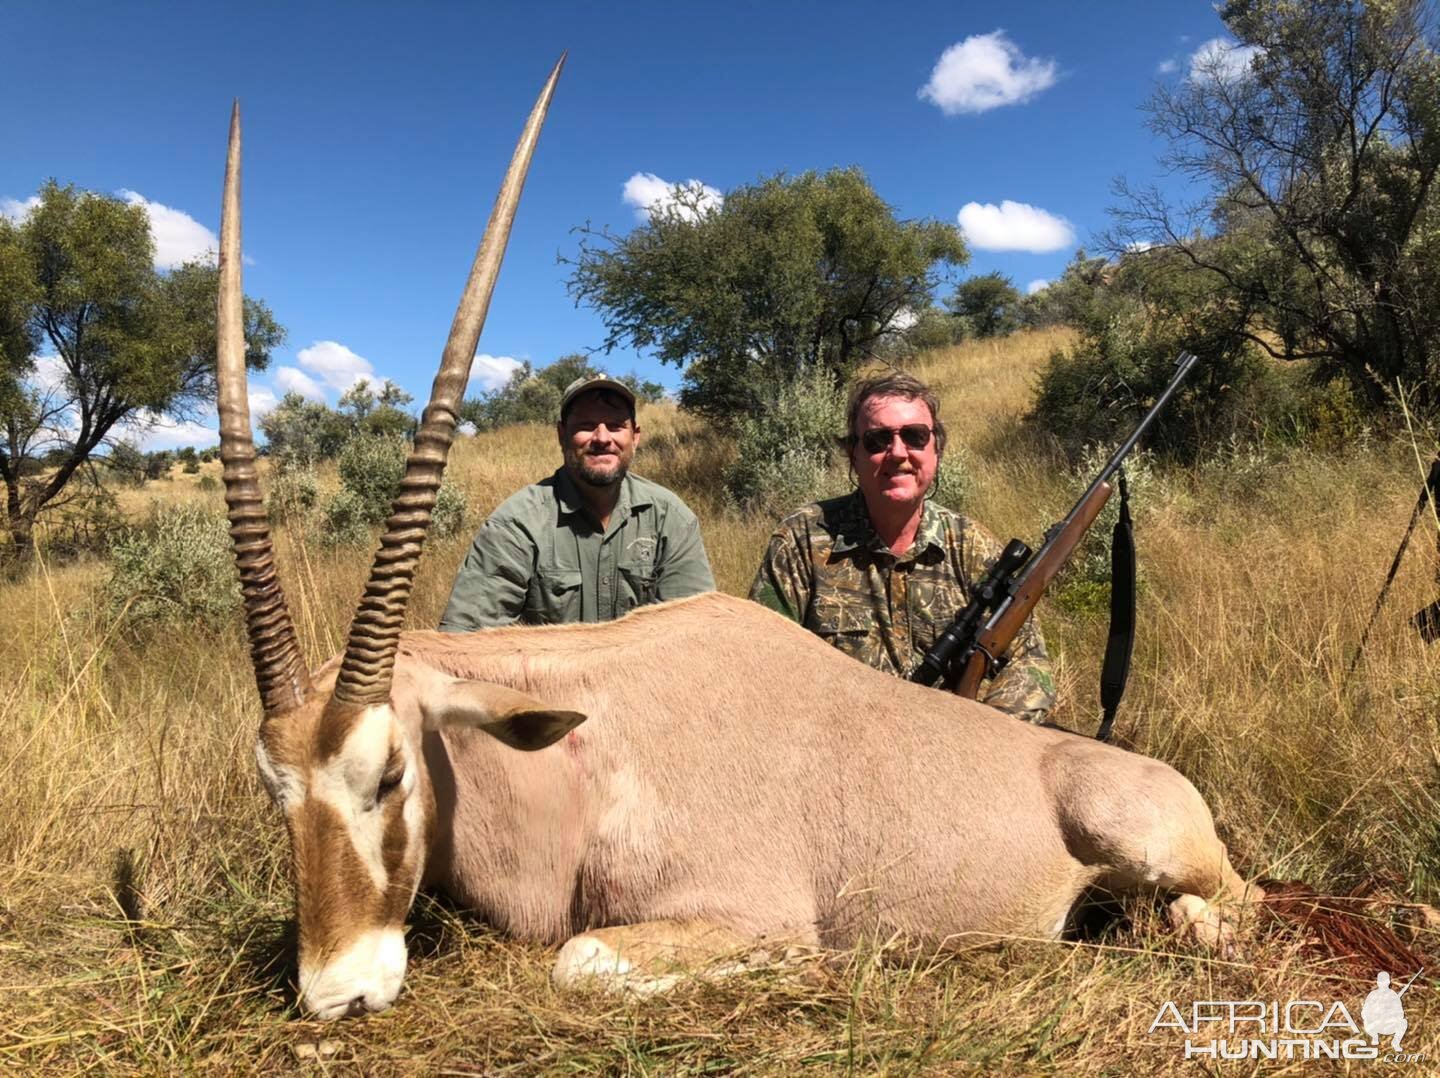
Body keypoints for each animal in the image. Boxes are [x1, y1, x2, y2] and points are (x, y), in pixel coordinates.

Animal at [218, 59, 1267, 1018]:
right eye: (278, 792)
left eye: (391, 773)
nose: (337, 992)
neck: (582, 755)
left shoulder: (739, 913)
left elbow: (580, 963)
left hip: (1159, 846)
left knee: (1230, 907)